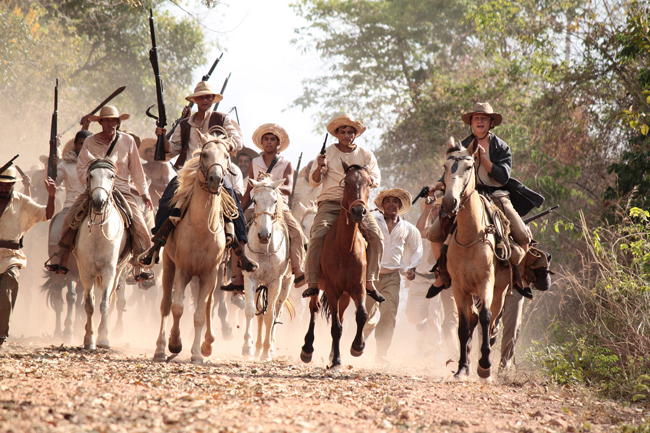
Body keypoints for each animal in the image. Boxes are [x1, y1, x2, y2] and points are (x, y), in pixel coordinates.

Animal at [73, 159, 129, 348]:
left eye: (112, 176)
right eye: (90, 175)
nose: (99, 203)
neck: (98, 234)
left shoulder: (109, 271)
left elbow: (104, 303)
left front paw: (103, 338)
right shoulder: (85, 272)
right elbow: (89, 304)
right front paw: (89, 339)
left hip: (118, 272)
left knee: (111, 299)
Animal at [152, 129, 233, 364]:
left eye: (226, 156)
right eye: (204, 154)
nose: (216, 179)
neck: (200, 228)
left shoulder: (209, 274)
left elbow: (198, 314)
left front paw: (197, 353)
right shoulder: (182, 270)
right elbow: (177, 308)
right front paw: (174, 343)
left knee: (207, 305)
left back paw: (208, 344)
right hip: (169, 266)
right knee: (165, 305)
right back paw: (160, 349)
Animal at [243, 175, 294, 358]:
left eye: (275, 200)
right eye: (254, 200)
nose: (264, 235)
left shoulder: (275, 282)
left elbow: (270, 316)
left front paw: (266, 351)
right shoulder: (250, 277)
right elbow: (250, 310)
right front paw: (248, 347)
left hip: (286, 284)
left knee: (276, 311)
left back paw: (269, 347)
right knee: (260, 314)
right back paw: (258, 347)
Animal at [300, 160, 370, 370]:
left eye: (369, 183)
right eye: (346, 182)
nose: (358, 211)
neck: (345, 249)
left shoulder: (357, 288)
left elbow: (361, 315)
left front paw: (357, 346)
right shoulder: (331, 290)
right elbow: (336, 328)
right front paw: (337, 361)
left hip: (345, 295)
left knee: (340, 314)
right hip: (317, 288)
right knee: (314, 310)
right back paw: (307, 349)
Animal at [440, 137, 512, 380]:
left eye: (468, 167)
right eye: (445, 167)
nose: (449, 202)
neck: (470, 236)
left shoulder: (486, 282)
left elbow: (486, 318)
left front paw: (485, 365)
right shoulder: (459, 287)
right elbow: (463, 326)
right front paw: (462, 367)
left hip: (500, 291)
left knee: (491, 321)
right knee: (472, 320)